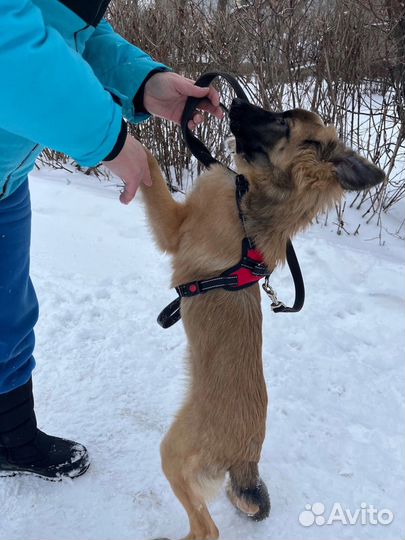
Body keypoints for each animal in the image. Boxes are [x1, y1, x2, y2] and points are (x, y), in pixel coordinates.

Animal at [140, 98, 384, 540]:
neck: (248, 205)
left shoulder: (173, 226)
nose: (234, 101)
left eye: (282, 121)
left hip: (173, 453)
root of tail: (246, 458)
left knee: (207, 528)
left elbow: (148, 165)